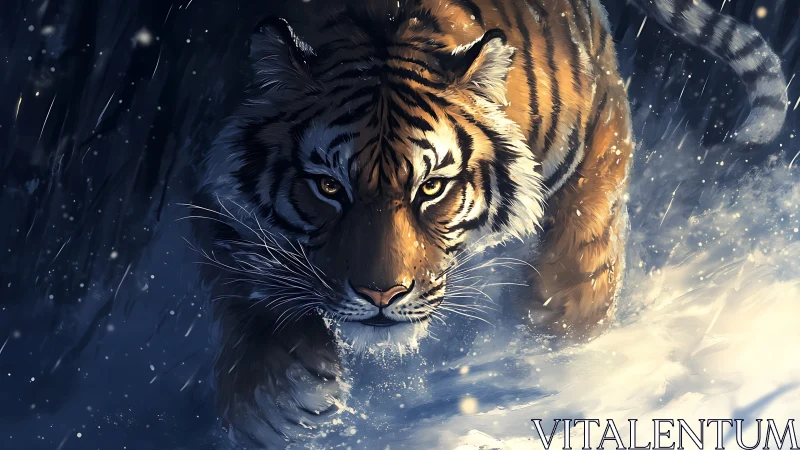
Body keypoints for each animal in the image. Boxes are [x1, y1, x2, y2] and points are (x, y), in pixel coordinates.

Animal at [192, 0, 787, 446]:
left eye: (431, 188)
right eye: (329, 188)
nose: (382, 294)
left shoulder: (600, 122)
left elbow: (583, 251)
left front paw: (558, 353)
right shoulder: (213, 186)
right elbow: (244, 280)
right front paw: (278, 396)